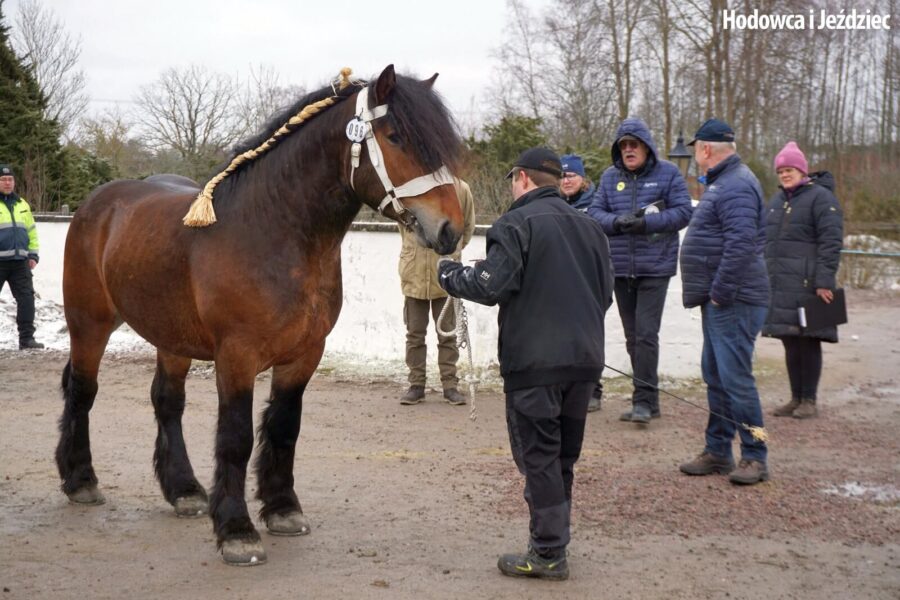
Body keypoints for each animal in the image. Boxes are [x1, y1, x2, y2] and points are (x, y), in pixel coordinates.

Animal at [56, 67, 464, 568]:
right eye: (395, 136)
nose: (451, 229)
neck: (271, 232)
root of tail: (99, 203)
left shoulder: (305, 355)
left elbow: (284, 428)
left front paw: (283, 509)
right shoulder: (237, 356)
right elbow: (235, 437)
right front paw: (237, 531)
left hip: (171, 338)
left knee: (167, 402)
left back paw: (184, 490)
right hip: (89, 322)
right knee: (83, 390)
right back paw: (81, 481)